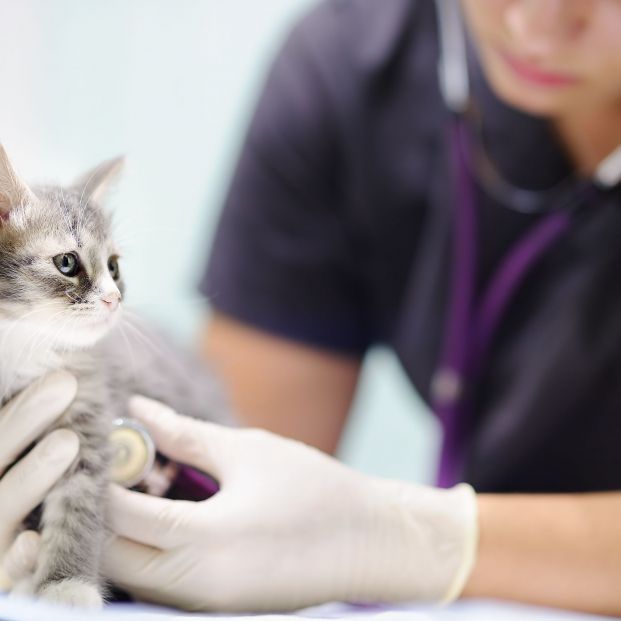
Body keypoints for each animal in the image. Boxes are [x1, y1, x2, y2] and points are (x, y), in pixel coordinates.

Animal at [0, 145, 231, 604]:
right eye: (67, 262)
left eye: (114, 266)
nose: (114, 298)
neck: (17, 346)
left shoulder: (88, 415)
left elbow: (78, 508)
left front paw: (66, 586)